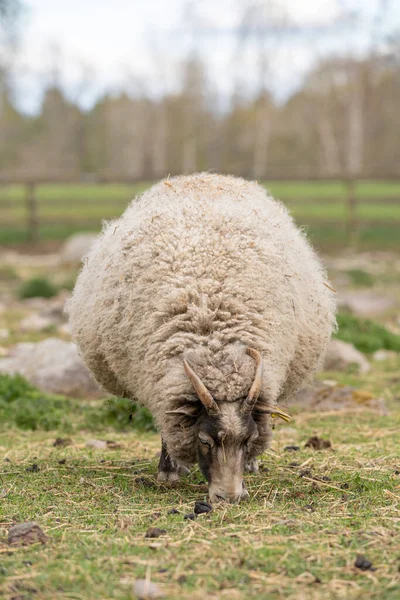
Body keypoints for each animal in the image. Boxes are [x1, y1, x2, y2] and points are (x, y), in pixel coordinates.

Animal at [67, 172, 336, 502]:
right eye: (205, 441)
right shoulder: (164, 385)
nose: (229, 497)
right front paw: (168, 471)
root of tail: (206, 177)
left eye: (249, 440)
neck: (215, 345)